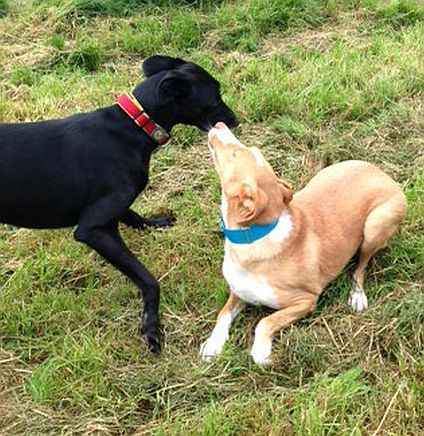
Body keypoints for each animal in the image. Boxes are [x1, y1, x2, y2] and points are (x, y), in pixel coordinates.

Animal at [0, 55, 238, 353]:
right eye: (215, 98)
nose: (235, 120)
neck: (133, 127)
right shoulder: (93, 229)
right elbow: (149, 281)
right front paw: (151, 327)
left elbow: (132, 215)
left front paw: (154, 223)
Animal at [200, 122, 406, 365]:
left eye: (236, 154)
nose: (219, 124)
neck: (254, 236)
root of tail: (384, 175)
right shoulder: (239, 291)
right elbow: (222, 315)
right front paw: (212, 345)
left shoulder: (305, 301)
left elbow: (265, 322)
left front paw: (261, 350)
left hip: (375, 226)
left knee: (361, 267)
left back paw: (357, 295)